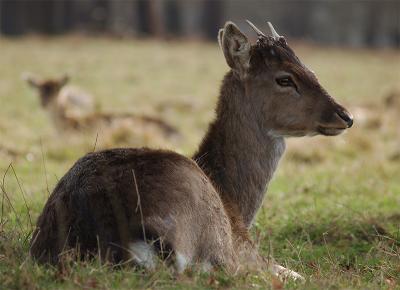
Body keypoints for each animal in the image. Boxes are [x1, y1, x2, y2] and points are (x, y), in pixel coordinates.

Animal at [30, 21, 354, 282]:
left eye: (312, 71)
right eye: (285, 78)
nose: (345, 116)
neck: (236, 206)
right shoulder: (247, 251)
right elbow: (297, 274)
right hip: (212, 239)